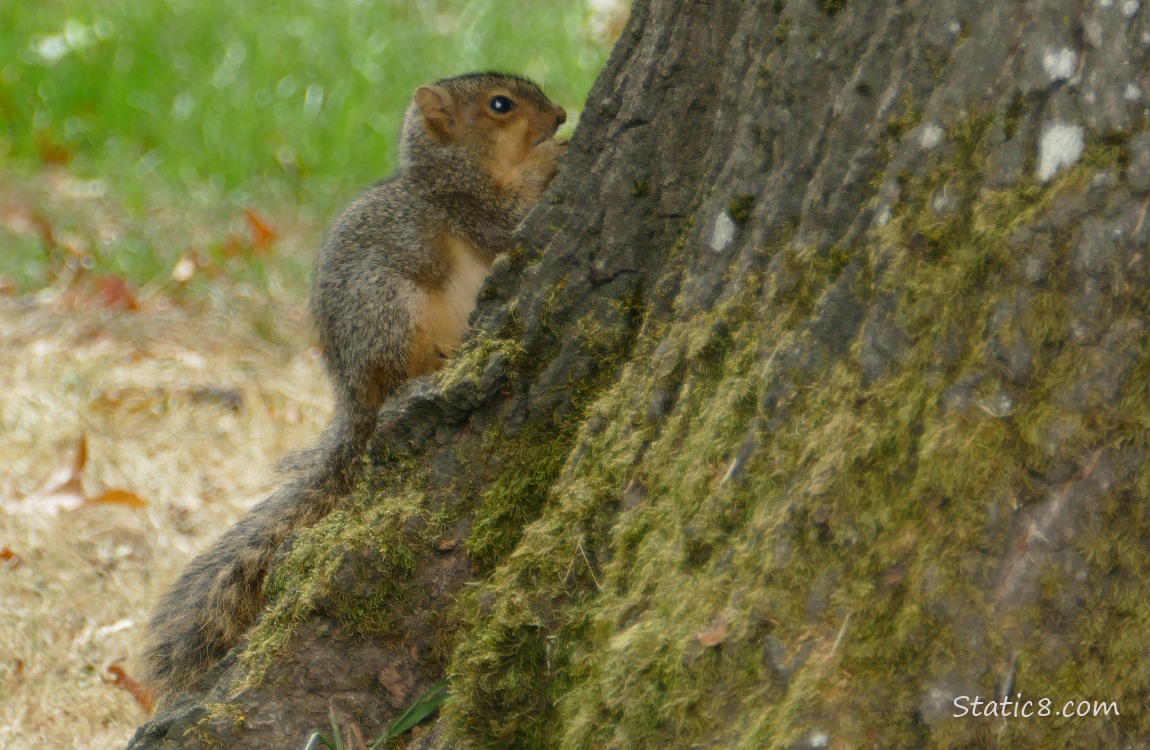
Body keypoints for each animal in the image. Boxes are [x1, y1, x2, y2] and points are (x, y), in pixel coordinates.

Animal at [141, 72, 567, 705]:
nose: (561, 114)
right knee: (396, 372)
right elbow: (509, 220)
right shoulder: (469, 206)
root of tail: (354, 402)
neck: (445, 169)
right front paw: (553, 157)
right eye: (501, 105)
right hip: (390, 308)